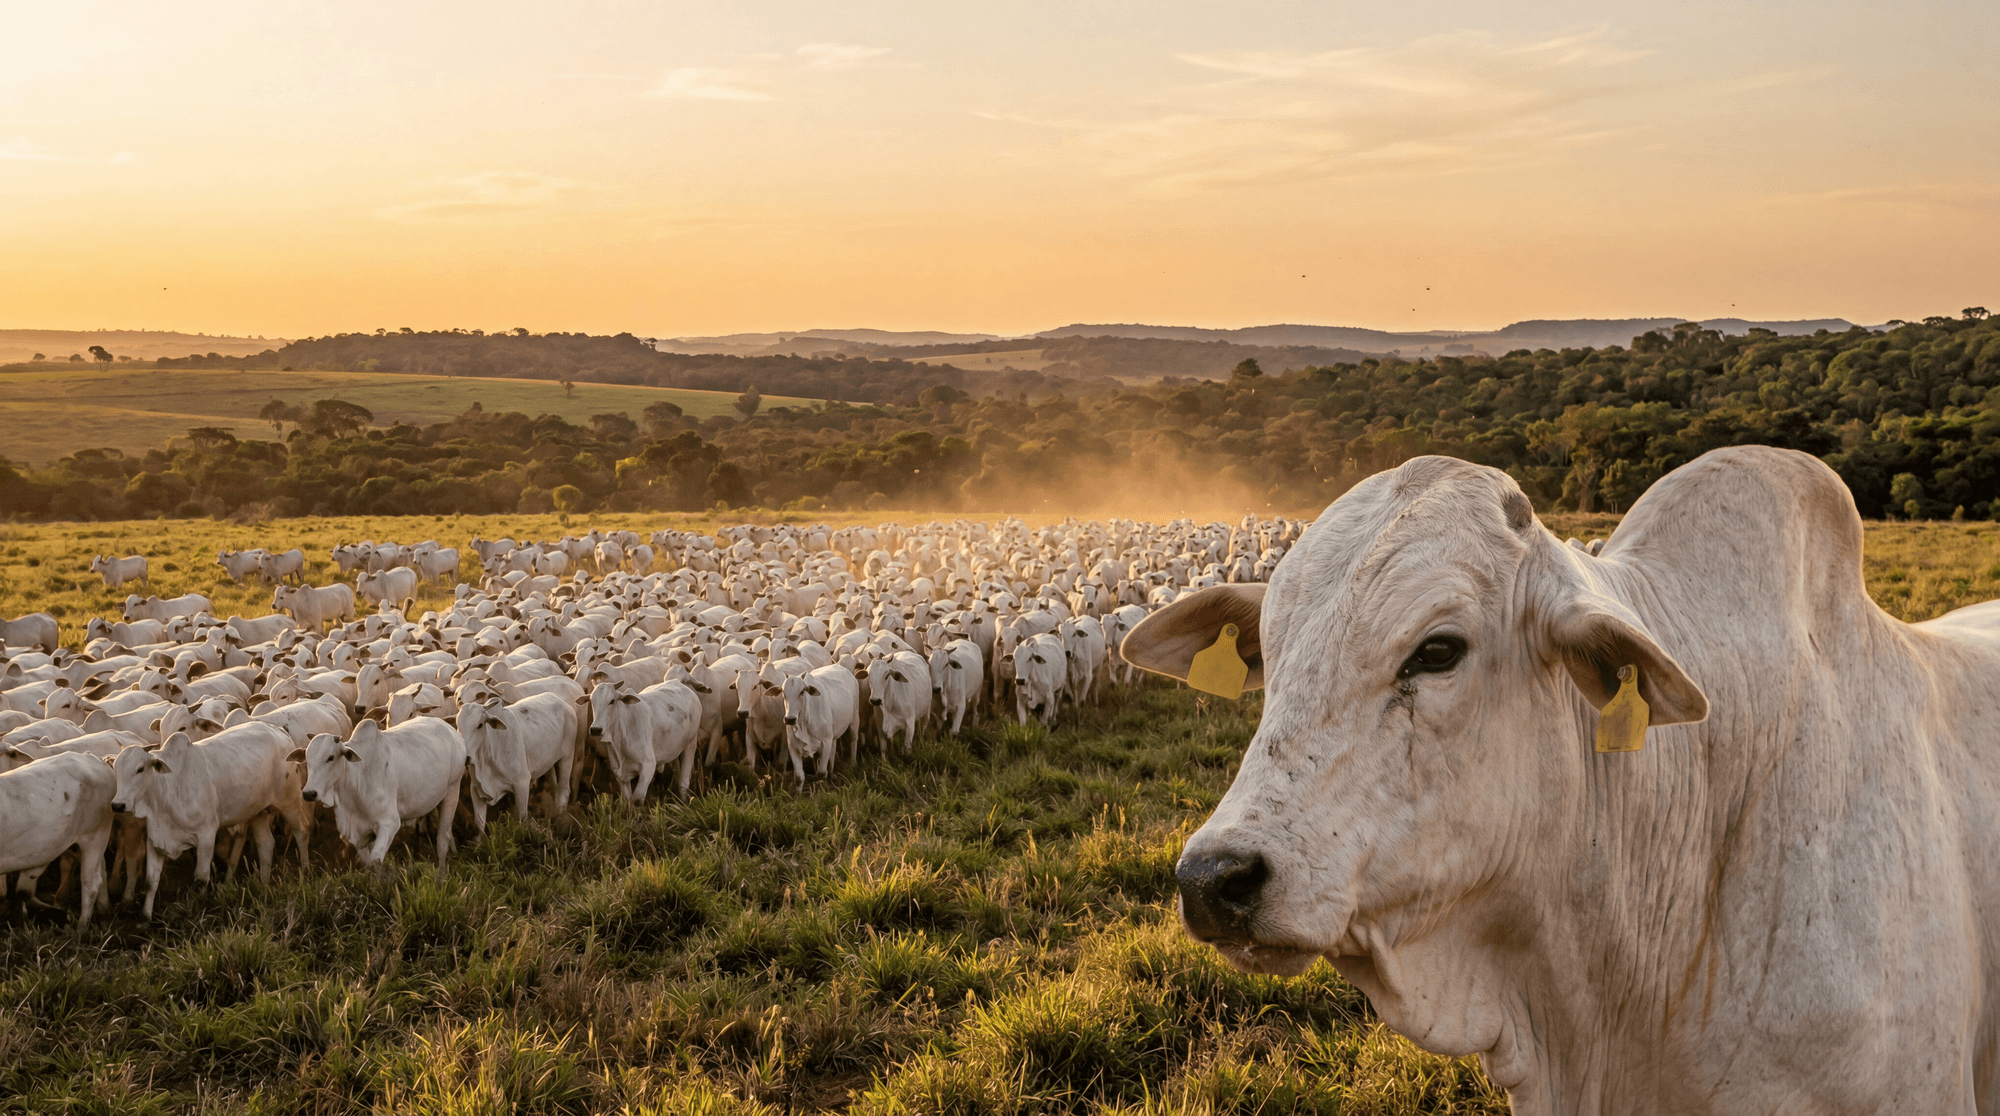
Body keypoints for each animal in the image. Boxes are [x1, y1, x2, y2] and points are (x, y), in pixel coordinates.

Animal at [110, 723, 310, 918]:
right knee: (266, 844)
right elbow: (151, 881)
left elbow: (201, 877)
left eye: (140, 769)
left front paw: (198, 909)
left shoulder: (206, 835)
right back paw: (263, 886)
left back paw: (305, 872)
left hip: (290, 802)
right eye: (116, 770)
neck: (168, 788)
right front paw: (145, 918)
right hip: (258, 811)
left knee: (302, 832)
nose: (118, 805)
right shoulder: (156, 839)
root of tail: (279, 730)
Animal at [297, 717, 465, 871]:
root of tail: (450, 730)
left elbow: (375, 862)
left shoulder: (389, 823)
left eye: (330, 757)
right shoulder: (356, 834)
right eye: (307, 758)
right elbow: (367, 864)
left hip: (453, 790)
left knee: (442, 839)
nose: (309, 793)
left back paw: (442, 874)